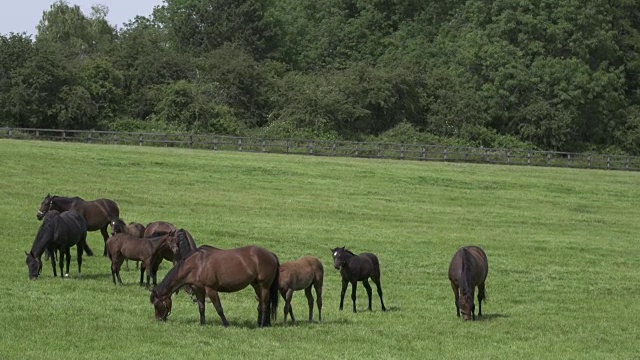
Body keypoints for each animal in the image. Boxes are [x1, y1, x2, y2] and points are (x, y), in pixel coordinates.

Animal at [151, 246, 282, 328]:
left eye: (157, 304)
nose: (158, 319)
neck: (198, 264)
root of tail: (271, 255)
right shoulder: (198, 289)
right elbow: (201, 307)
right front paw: (202, 323)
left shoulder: (211, 289)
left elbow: (219, 308)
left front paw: (226, 324)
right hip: (256, 285)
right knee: (262, 304)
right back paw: (262, 323)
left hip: (264, 286)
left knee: (265, 304)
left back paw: (261, 325)